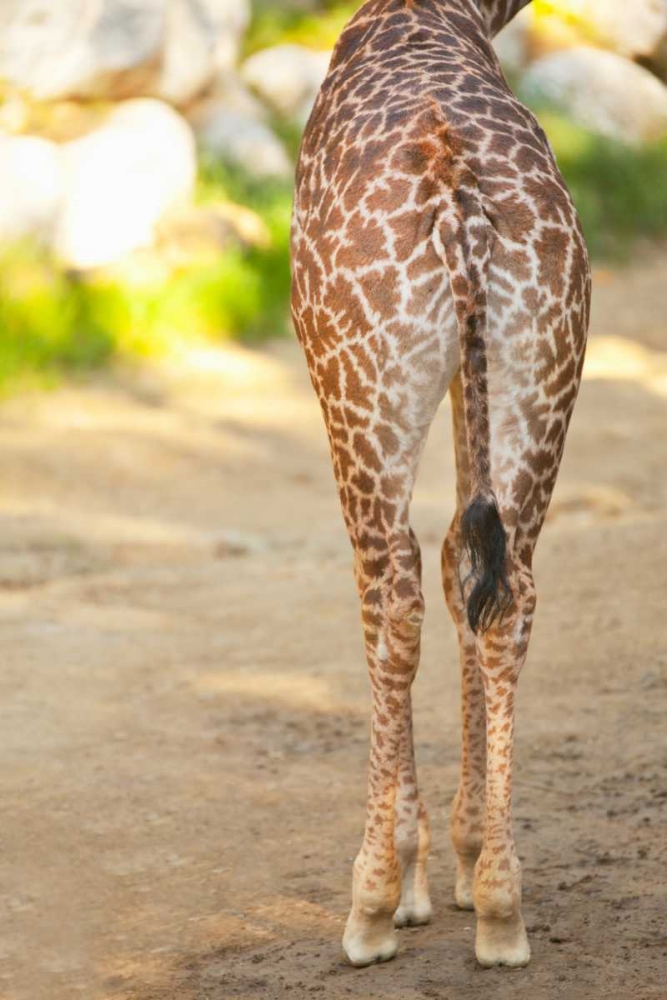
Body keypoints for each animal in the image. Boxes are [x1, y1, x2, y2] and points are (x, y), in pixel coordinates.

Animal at [291, 0, 590, 970]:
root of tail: (460, 209)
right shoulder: (471, 375)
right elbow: (470, 561)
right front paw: (459, 867)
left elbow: (393, 600)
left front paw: (412, 888)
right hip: (540, 356)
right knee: (507, 590)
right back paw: (501, 911)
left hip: (361, 393)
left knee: (394, 593)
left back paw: (367, 908)